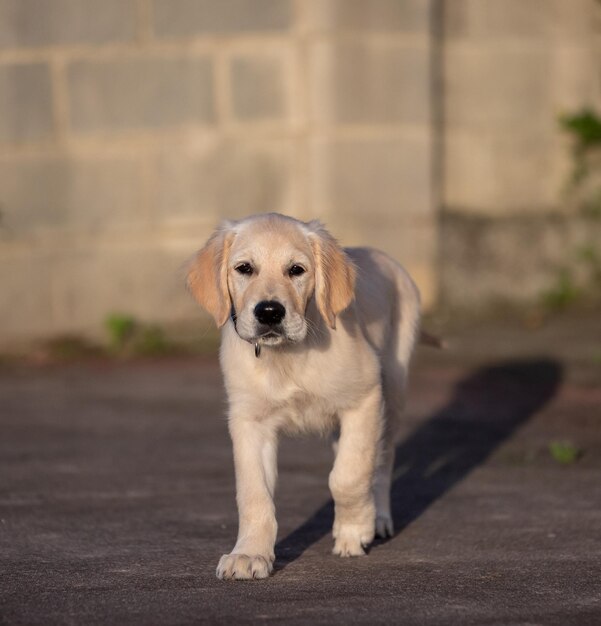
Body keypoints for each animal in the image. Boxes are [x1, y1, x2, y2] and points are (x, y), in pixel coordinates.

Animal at [186, 213, 418, 580]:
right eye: (244, 268)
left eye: (296, 270)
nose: (269, 312)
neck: (287, 355)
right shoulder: (249, 421)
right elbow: (254, 493)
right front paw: (249, 553)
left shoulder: (364, 398)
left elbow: (348, 476)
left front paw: (354, 531)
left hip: (392, 390)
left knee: (382, 459)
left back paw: (378, 517)